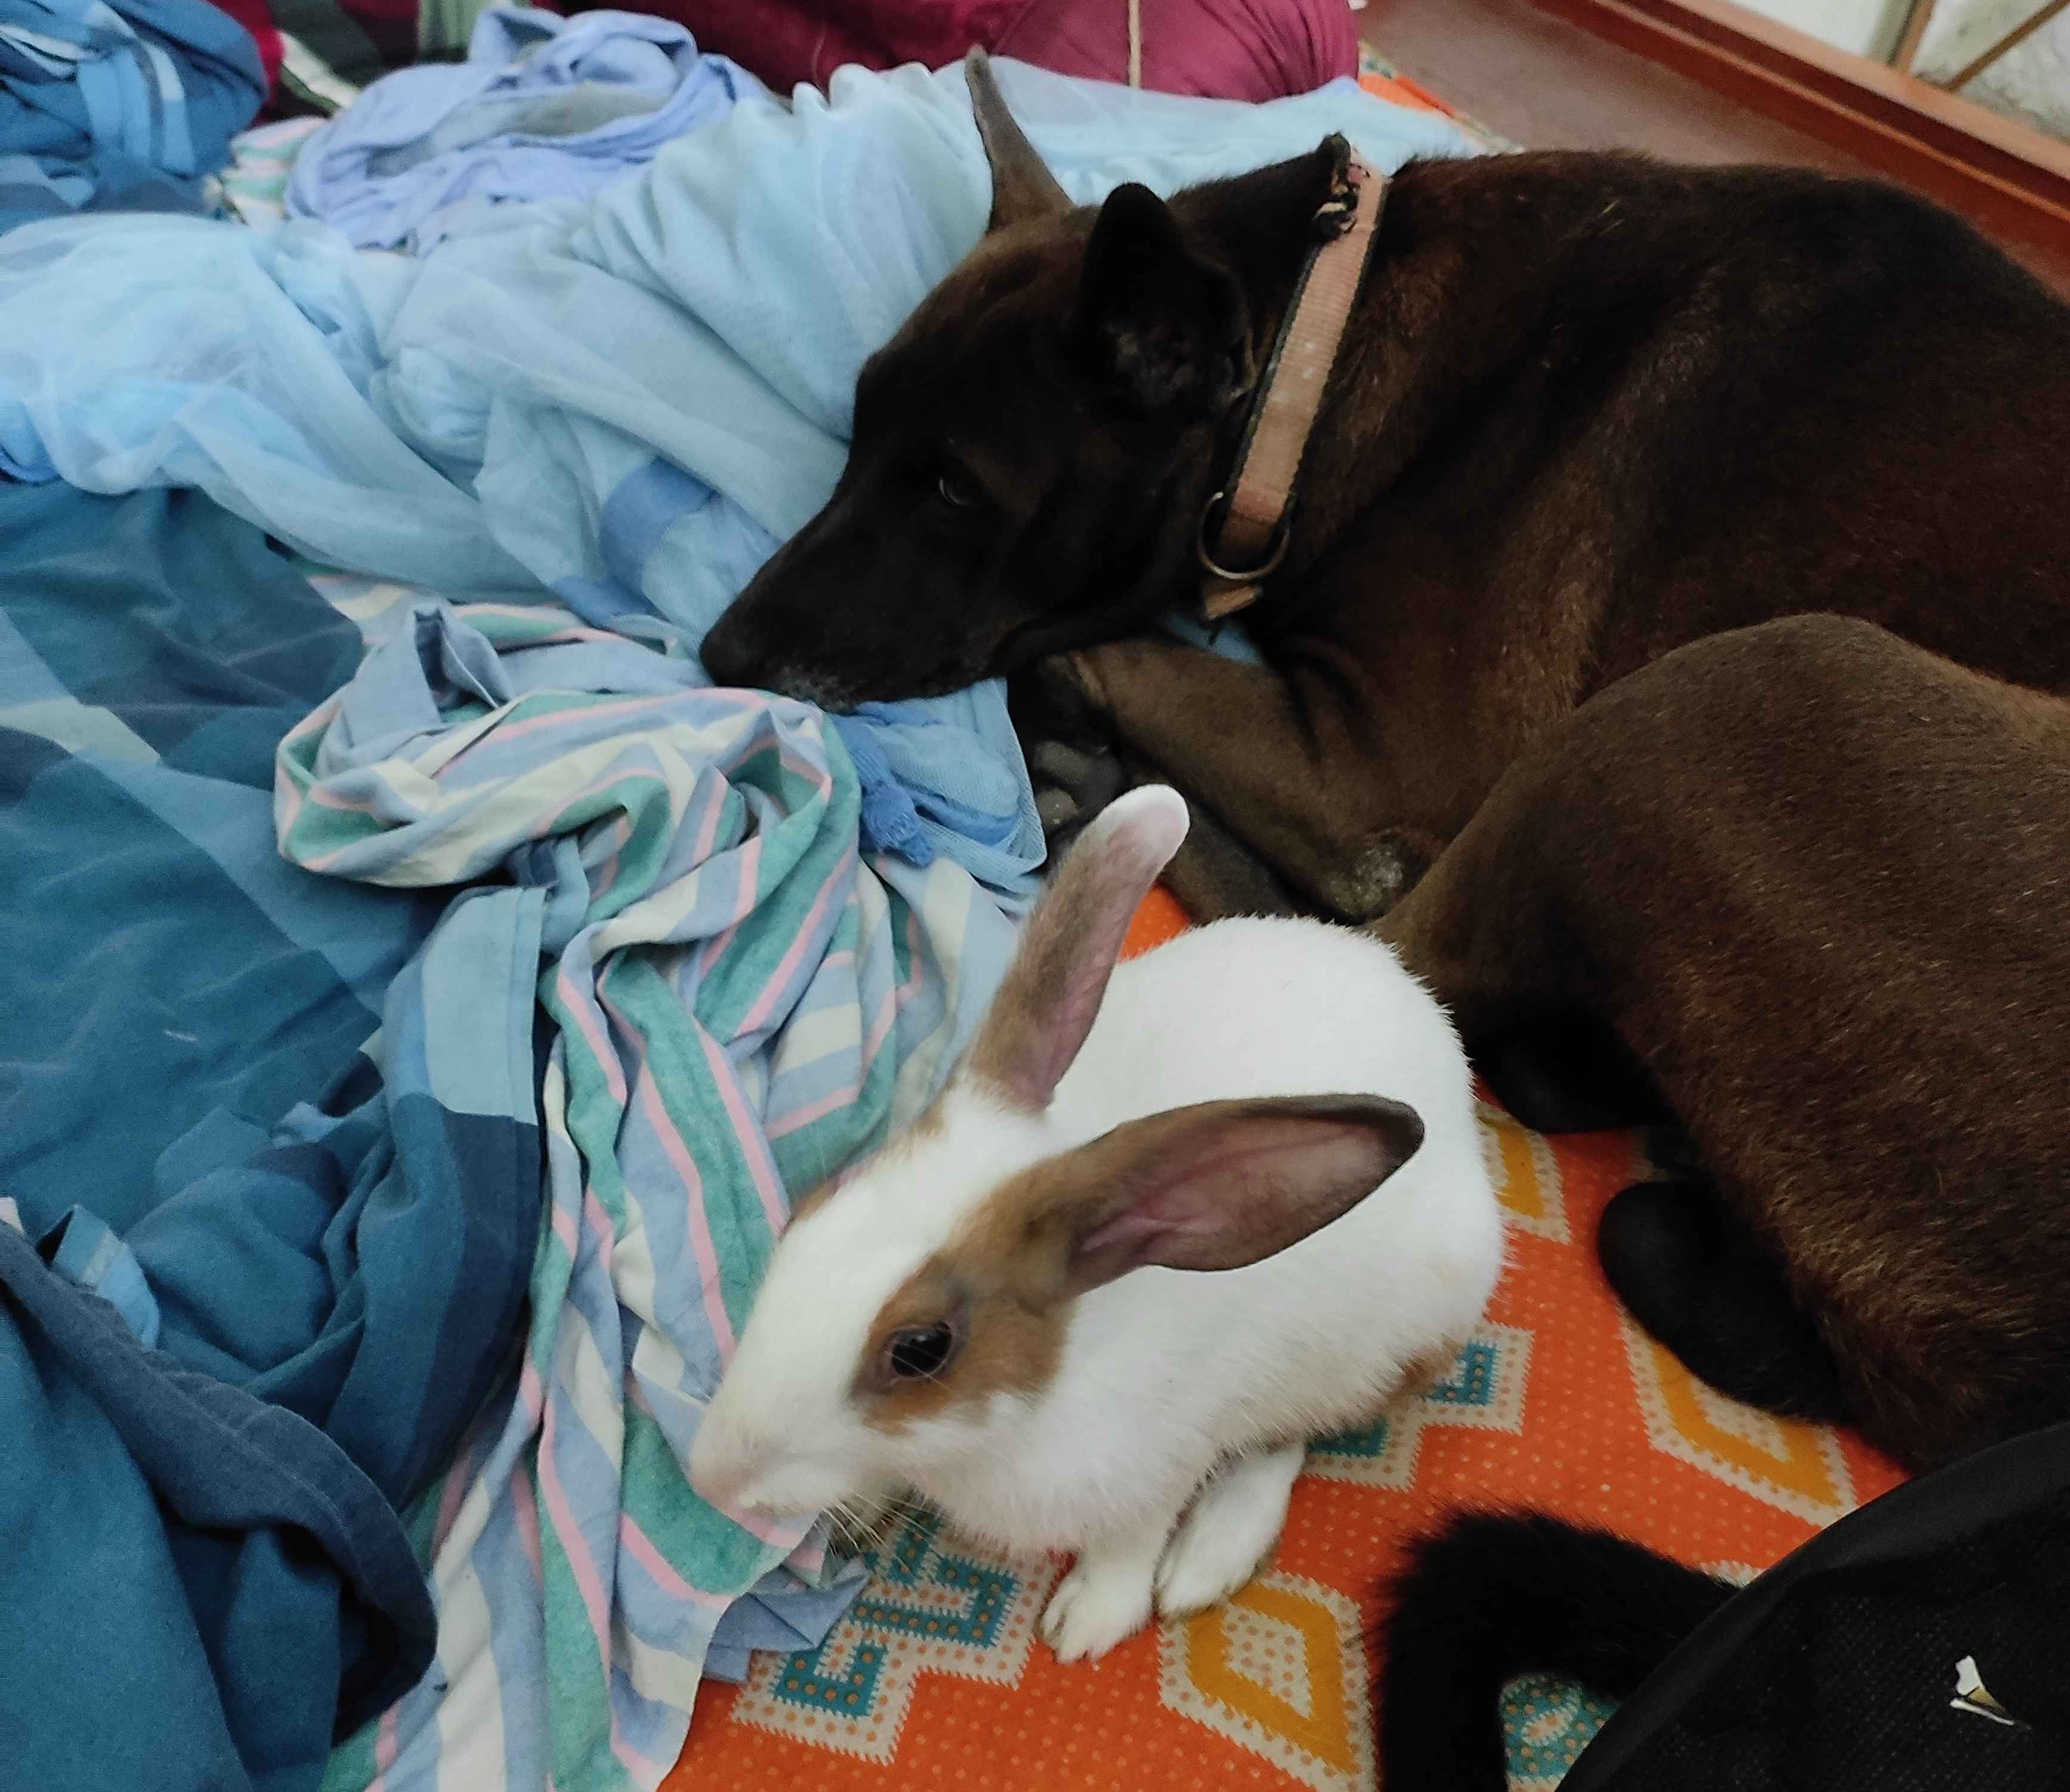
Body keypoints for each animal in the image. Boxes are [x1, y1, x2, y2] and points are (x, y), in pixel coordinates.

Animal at [688, 784, 1503, 1662]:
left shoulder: (1157, 1465)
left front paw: (1087, 1620)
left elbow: (1129, 1540)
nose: (708, 1475)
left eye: (921, 1349)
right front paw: (863, 1510)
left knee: (1285, 1441)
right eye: (807, 1211)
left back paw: (1207, 1559)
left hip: (1368, 1354)